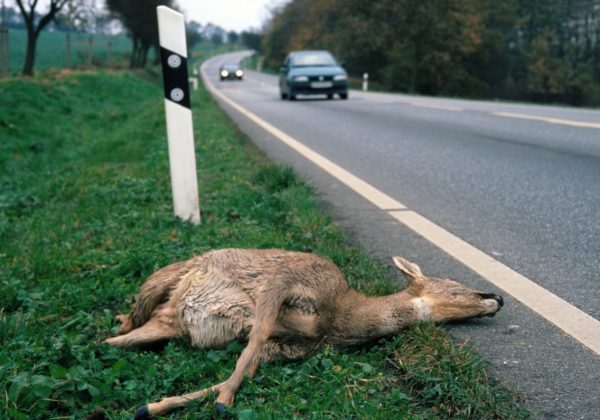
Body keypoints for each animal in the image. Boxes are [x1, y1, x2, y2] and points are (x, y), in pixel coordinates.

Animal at [105, 248, 504, 418]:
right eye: (456, 288)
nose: (496, 299)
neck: (339, 318)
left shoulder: (291, 347)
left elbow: (250, 362)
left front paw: (154, 405)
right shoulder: (285, 281)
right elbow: (253, 342)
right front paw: (223, 402)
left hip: (165, 322)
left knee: (116, 341)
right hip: (163, 284)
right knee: (122, 328)